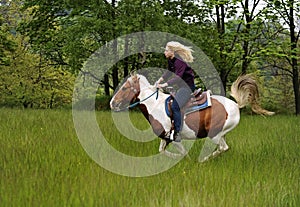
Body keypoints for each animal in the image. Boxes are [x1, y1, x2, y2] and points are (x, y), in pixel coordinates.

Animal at [110, 73, 274, 162]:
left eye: (125, 88)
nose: (112, 103)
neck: (155, 105)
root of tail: (235, 105)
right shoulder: (165, 137)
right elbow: (162, 150)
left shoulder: (174, 137)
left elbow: (182, 152)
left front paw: (186, 160)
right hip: (221, 134)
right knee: (224, 147)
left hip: (214, 134)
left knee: (222, 148)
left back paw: (203, 160)